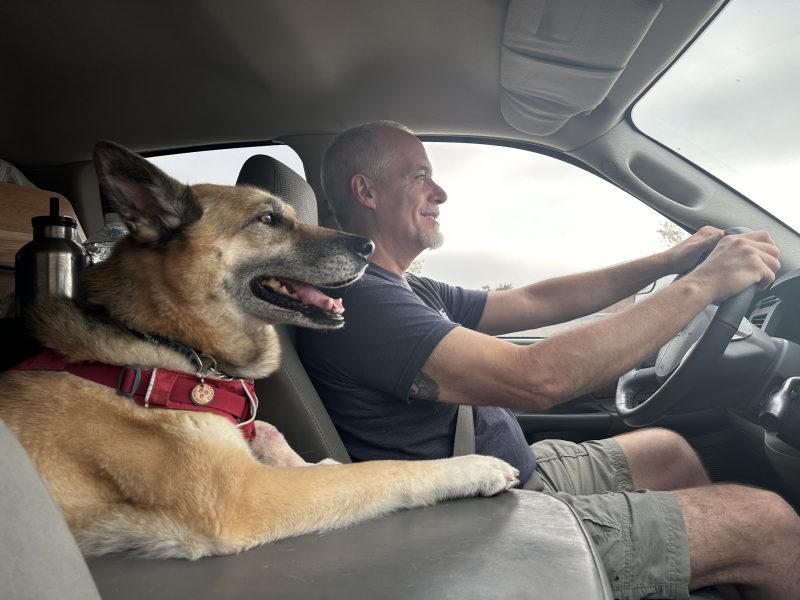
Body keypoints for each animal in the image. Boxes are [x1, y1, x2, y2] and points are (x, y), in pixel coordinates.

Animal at [0, 143, 520, 560]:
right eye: (268, 220)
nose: (369, 246)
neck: (163, 343)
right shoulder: (244, 497)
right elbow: (383, 470)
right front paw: (475, 466)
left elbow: (288, 444)